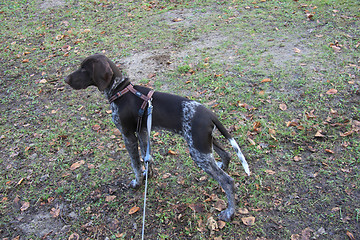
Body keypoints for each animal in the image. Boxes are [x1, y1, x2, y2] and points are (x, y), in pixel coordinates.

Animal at [64, 54, 250, 221]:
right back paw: (223, 167)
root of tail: (210, 114)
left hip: (198, 152)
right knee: (227, 154)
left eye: (84, 69)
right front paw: (149, 175)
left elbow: (135, 164)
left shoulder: (128, 136)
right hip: (205, 143)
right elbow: (147, 157)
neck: (120, 90)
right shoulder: (142, 131)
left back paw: (229, 213)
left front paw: (138, 183)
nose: (65, 79)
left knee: (228, 182)